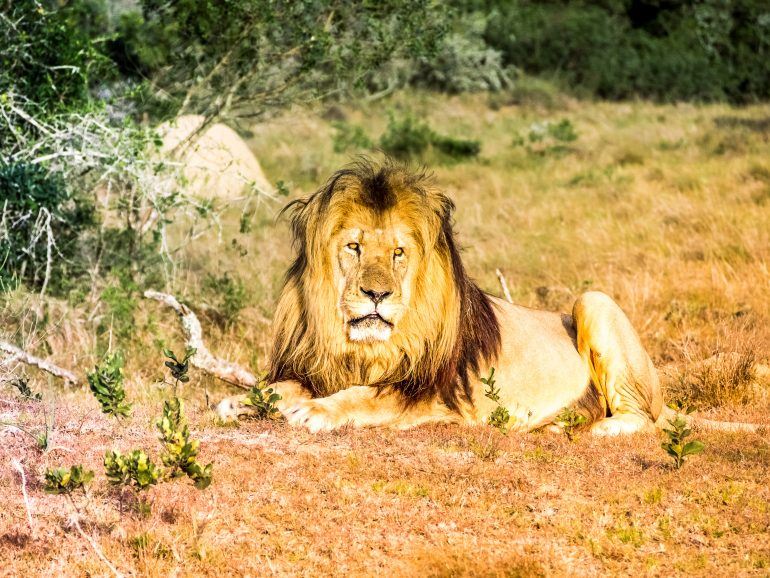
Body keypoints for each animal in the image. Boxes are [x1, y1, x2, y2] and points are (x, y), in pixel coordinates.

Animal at [216, 156, 756, 432]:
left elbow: (364, 396)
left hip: (593, 301)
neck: (364, 348)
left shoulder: (433, 395)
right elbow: (282, 386)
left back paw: (588, 427)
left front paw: (316, 411)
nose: (376, 294)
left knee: (642, 418)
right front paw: (241, 402)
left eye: (397, 253)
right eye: (354, 247)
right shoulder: (315, 368)